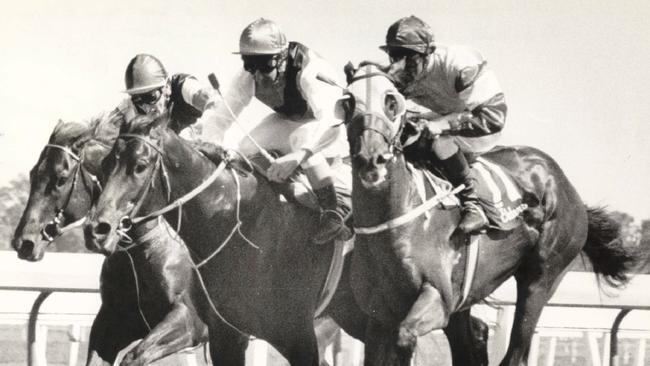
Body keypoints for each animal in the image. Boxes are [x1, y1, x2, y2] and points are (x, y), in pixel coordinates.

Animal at [8, 115, 228, 366]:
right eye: (33, 173)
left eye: (61, 179)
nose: (24, 243)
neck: (142, 250)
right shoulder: (115, 321)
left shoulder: (190, 320)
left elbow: (134, 356)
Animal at [82, 111, 492, 366]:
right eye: (104, 165)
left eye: (139, 166)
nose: (97, 229)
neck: (241, 228)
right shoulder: (224, 334)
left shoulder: (289, 334)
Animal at [342, 63, 636, 366]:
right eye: (348, 101)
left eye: (392, 102)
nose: (371, 159)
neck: (398, 219)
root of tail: (565, 184)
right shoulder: (379, 318)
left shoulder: (437, 298)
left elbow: (406, 334)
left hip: (542, 276)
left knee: (516, 350)